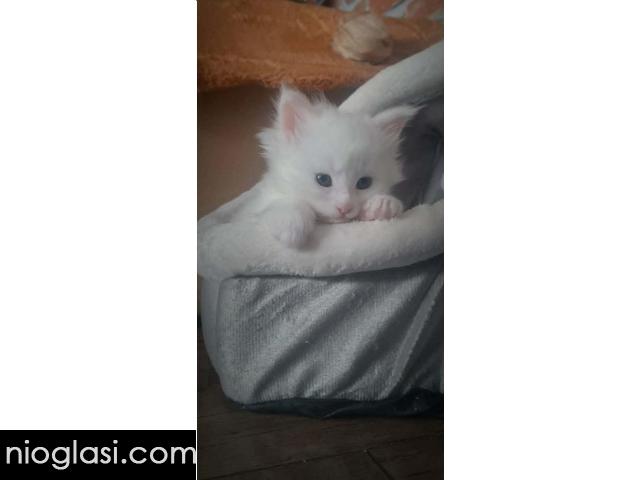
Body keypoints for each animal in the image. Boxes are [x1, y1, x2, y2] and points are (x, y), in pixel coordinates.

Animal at [232, 86, 418, 248]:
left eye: (364, 183)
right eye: (323, 180)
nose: (344, 208)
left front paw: (383, 205)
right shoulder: (250, 213)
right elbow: (288, 202)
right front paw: (291, 224)